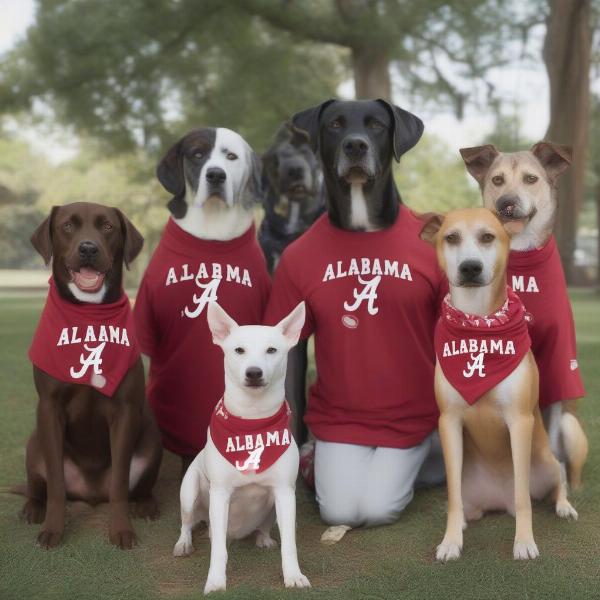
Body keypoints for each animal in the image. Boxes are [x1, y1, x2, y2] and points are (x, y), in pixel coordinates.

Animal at [24, 202, 162, 548]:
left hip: (153, 442)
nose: (88, 248)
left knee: (133, 487)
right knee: (39, 485)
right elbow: (56, 485)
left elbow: (120, 483)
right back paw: (32, 508)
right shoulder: (49, 408)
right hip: (34, 444)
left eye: (108, 227)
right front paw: (53, 529)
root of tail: (91, 493)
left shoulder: (125, 411)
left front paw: (122, 529)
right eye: (68, 226)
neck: (88, 316)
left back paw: (146, 504)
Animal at [170, 302, 308, 592]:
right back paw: (184, 543)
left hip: (273, 507)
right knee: (188, 524)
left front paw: (293, 575)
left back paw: (263, 538)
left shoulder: (285, 492)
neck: (253, 425)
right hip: (189, 493)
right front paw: (215, 580)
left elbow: (290, 544)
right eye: (239, 350)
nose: (254, 372)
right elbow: (218, 551)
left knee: (263, 527)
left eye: (272, 350)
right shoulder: (220, 494)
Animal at [420, 207, 580, 564]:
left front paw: (524, 542)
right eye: (451, 238)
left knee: (559, 481)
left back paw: (564, 507)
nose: (470, 267)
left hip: (546, 462)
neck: (479, 323)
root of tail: (497, 501)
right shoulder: (448, 422)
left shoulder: (519, 421)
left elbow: (523, 496)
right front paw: (450, 541)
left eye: (487, 237)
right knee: (461, 500)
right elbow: (453, 498)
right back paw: (464, 522)